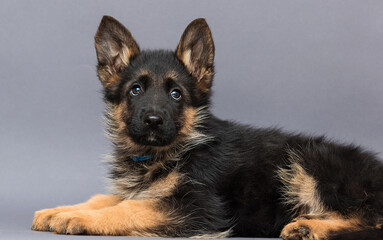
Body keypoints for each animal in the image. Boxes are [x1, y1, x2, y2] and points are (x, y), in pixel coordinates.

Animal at [33, 15, 383, 239]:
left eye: (176, 94)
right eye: (135, 90)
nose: (153, 121)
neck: (170, 150)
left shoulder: (200, 208)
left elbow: (130, 208)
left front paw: (77, 216)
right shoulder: (143, 189)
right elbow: (110, 198)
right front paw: (60, 210)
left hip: (311, 160)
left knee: (372, 219)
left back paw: (312, 226)